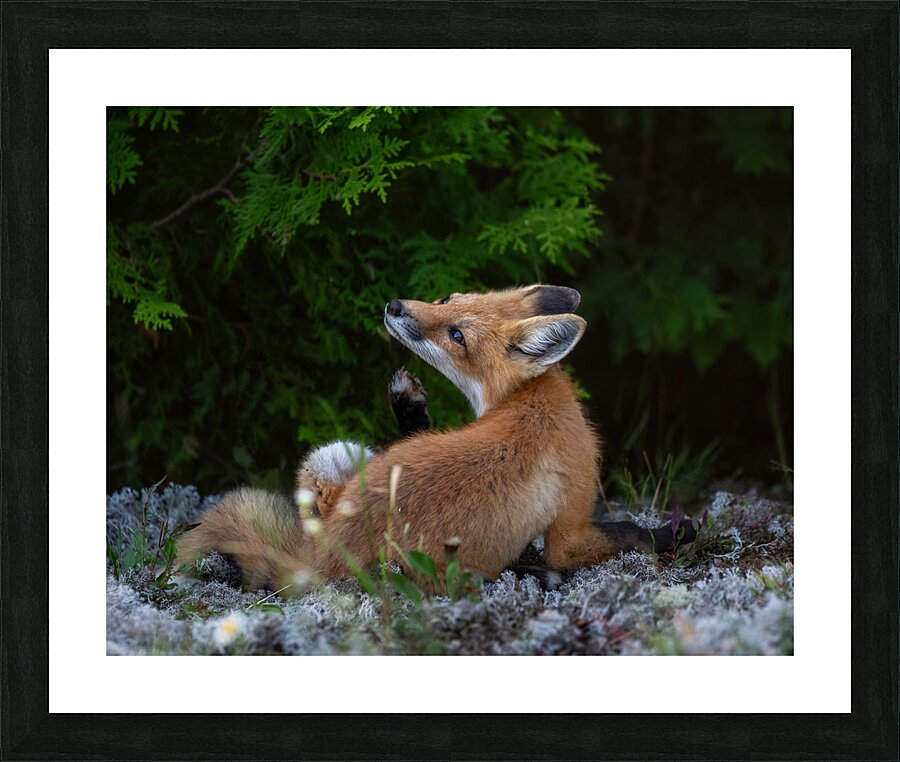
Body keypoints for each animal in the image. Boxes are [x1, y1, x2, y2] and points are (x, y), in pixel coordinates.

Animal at [176, 285, 692, 592]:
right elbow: (628, 533)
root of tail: (321, 561)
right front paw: (672, 532)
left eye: (457, 334)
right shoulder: (570, 532)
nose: (395, 306)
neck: (533, 400)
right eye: (448, 299)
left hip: (340, 456)